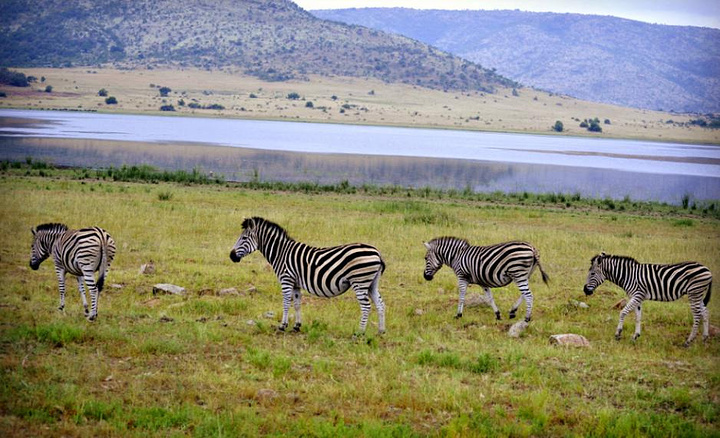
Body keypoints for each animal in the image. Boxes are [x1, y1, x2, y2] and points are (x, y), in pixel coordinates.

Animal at [231, 217, 388, 334]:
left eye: (244, 238)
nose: (231, 256)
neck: (281, 253)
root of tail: (378, 253)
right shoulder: (295, 283)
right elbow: (297, 304)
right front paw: (296, 326)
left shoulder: (286, 279)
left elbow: (286, 303)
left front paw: (282, 326)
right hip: (371, 283)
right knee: (380, 304)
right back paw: (380, 331)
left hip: (359, 282)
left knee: (366, 306)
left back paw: (359, 333)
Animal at [420, 238, 548, 324]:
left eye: (425, 258)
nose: (426, 277)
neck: (456, 256)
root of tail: (532, 248)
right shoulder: (482, 282)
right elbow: (489, 298)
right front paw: (497, 315)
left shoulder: (462, 277)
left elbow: (461, 296)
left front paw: (458, 315)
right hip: (525, 275)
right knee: (525, 294)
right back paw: (513, 311)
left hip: (518, 273)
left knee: (528, 295)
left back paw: (527, 318)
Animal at [584, 253, 716, 346]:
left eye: (592, 273)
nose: (585, 290)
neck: (628, 275)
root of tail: (707, 269)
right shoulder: (637, 297)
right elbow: (638, 316)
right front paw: (635, 336)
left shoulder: (637, 294)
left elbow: (623, 312)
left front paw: (618, 334)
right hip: (698, 294)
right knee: (705, 312)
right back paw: (704, 338)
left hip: (694, 292)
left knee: (697, 315)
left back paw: (689, 341)